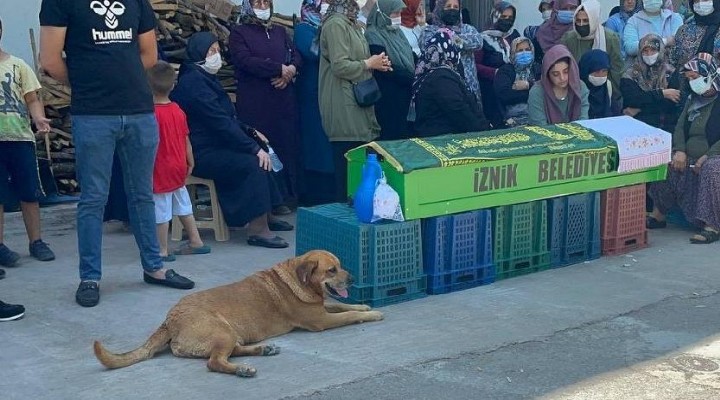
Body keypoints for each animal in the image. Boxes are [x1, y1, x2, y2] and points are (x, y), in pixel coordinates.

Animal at [94, 250, 382, 378]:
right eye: (331, 270)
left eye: (340, 266)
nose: (352, 279)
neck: (298, 279)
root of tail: (169, 319)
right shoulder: (320, 320)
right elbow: (346, 316)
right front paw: (372, 315)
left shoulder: (322, 309)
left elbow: (344, 307)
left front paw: (364, 307)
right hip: (222, 331)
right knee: (214, 362)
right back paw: (242, 369)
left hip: (231, 334)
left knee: (229, 352)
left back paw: (262, 350)